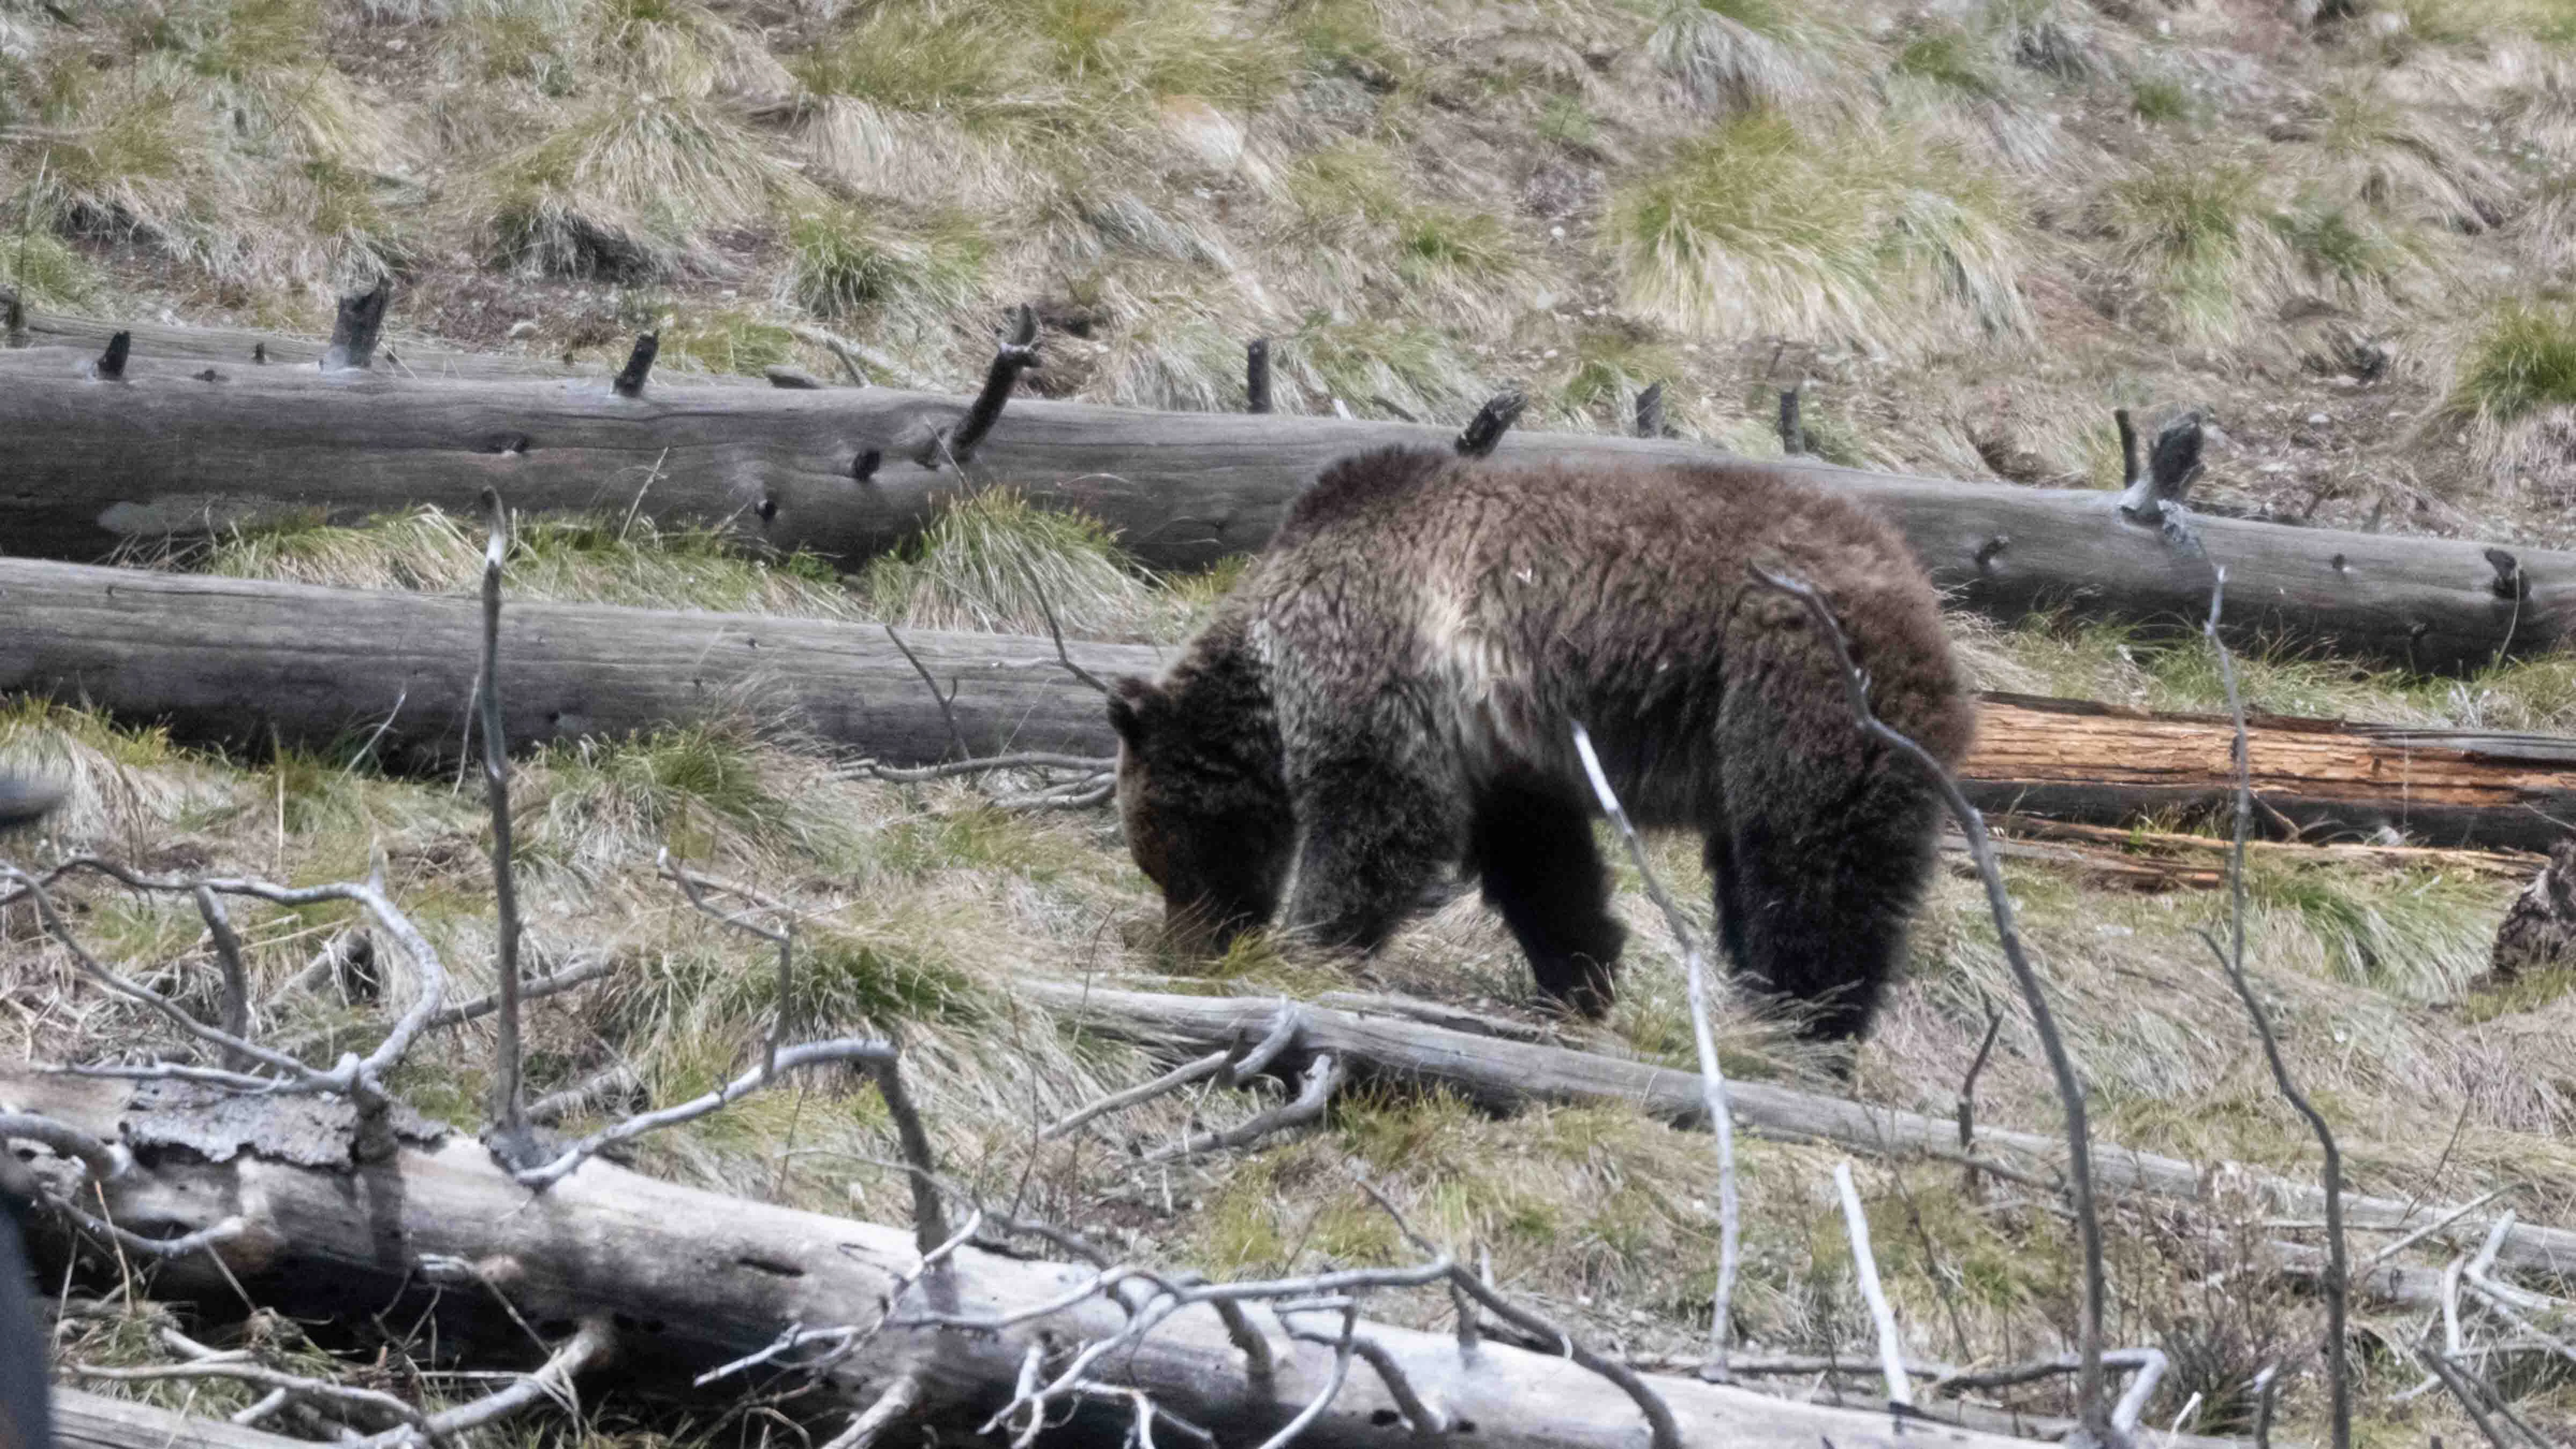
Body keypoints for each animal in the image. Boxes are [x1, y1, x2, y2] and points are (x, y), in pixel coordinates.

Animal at [1106, 443, 1976, 1043]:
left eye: (1164, 860)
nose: (1189, 950)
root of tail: (1917, 586)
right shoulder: (1500, 751)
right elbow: (1540, 867)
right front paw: (1580, 976)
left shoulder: (1379, 656)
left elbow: (1379, 815)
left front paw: (1310, 945)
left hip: (1794, 678)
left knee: (1814, 863)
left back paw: (1806, 1022)